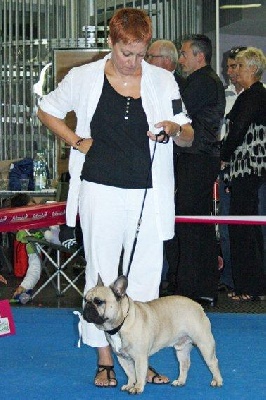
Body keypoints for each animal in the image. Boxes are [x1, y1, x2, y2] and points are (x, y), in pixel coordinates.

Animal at [83, 276, 222, 394]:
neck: (120, 324)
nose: (87, 307)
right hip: (181, 348)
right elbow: (130, 373)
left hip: (204, 344)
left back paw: (217, 381)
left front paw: (137, 387)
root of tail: (196, 304)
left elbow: (139, 373)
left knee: (213, 362)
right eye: (85, 299)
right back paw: (180, 381)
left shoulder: (139, 358)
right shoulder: (122, 358)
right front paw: (130, 385)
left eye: (99, 301)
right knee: (184, 364)